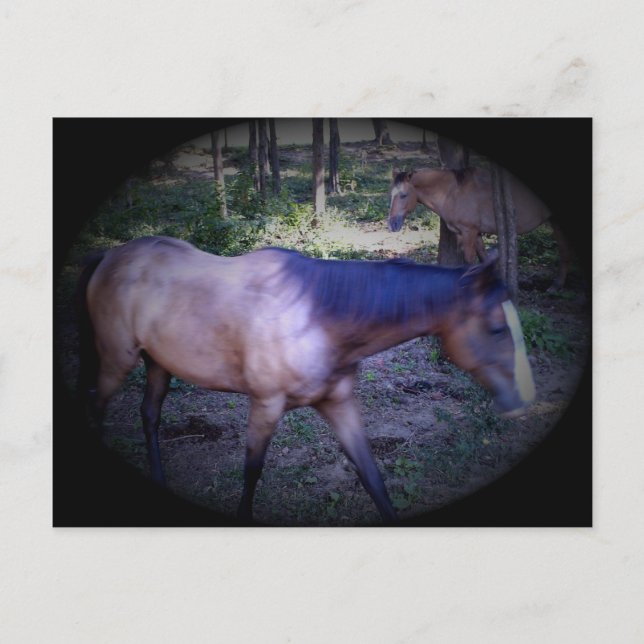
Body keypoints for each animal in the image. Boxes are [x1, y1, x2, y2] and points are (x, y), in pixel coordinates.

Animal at [77, 235, 536, 525]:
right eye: (497, 329)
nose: (522, 403)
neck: (316, 316)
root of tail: (111, 256)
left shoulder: (339, 405)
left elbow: (372, 477)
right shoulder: (265, 405)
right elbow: (252, 472)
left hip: (158, 364)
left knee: (149, 416)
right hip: (117, 361)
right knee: (97, 408)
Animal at [388, 168, 571, 290]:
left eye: (403, 195)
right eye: (391, 195)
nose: (392, 224)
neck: (453, 192)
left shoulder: (469, 231)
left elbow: (470, 260)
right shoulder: (470, 234)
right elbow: (483, 258)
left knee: (564, 250)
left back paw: (557, 286)